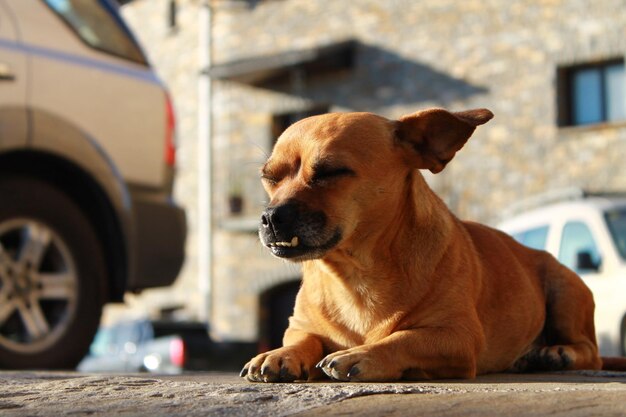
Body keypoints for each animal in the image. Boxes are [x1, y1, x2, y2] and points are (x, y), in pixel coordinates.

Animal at [240, 106, 624, 380]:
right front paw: (279, 354)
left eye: (331, 172)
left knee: (590, 351)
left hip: (565, 288)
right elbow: (304, 338)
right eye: (269, 178)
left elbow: (404, 337)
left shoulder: (456, 337)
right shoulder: (299, 327)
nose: (270, 216)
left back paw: (556, 353)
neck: (356, 273)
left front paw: (362, 354)